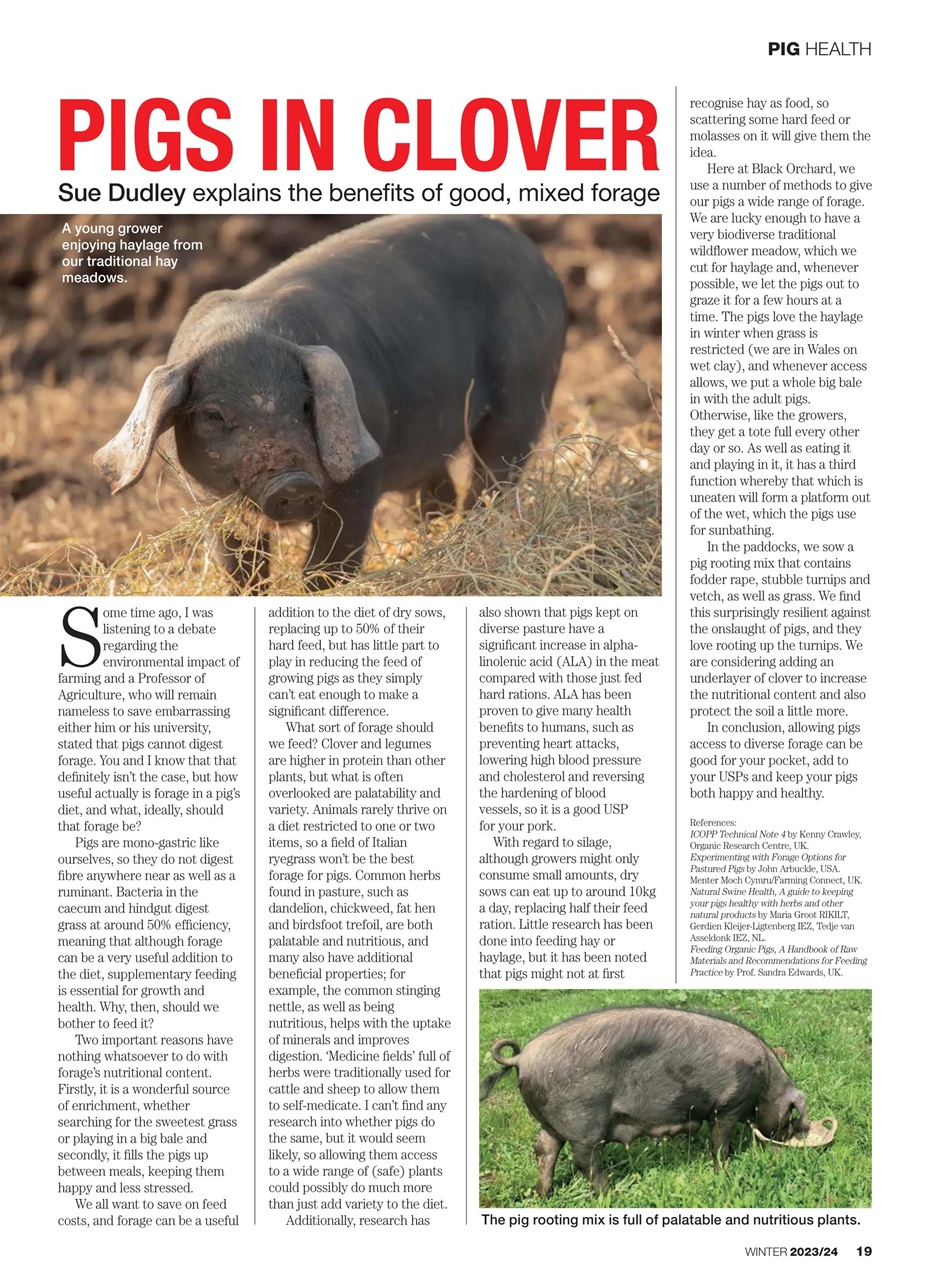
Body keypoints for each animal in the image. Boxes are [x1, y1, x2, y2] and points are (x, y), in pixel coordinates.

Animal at [94, 214, 567, 591]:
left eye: (307, 405)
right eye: (212, 415)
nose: (293, 484)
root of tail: (539, 259)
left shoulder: (362, 472)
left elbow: (329, 565)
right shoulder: (207, 501)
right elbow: (240, 570)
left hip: (525, 390)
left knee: (494, 475)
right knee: (436, 495)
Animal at [480, 1006, 810, 1196]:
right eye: (791, 1116)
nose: (784, 1141)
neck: (766, 1081)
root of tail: (522, 1058)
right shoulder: (728, 1105)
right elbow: (719, 1142)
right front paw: (723, 1170)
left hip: (549, 1122)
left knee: (544, 1151)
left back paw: (544, 1195)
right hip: (584, 1120)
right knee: (584, 1161)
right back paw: (611, 1194)